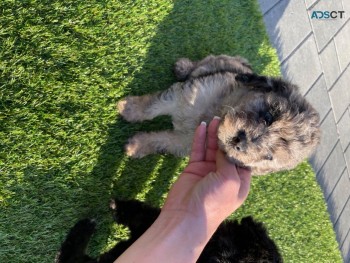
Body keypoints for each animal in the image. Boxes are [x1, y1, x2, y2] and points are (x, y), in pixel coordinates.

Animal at [119, 55, 322, 175]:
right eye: (269, 117)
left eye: (269, 157)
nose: (239, 143)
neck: (216, 115)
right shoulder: (188, 93)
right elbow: (154, 105)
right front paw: (129, 108)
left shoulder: (184, 141)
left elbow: (162, 140)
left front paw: (137, 145)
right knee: (205, 61)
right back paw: (183, 67)